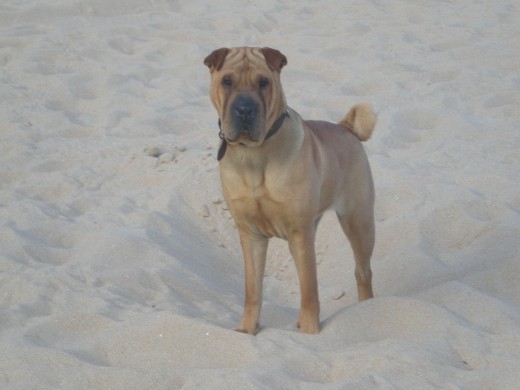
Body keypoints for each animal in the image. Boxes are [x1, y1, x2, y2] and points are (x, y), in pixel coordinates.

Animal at [203, 46, 374, 336]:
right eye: (227, 81)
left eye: (263, 82)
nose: (245, 109)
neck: (254, 155)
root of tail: (346, 128)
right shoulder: (251, 234)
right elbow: (253, 290)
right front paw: (247, 329)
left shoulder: (299, 232)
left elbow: (309, 290)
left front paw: (309, 330)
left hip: (358, 222)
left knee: (362, 272)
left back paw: (366, 309)